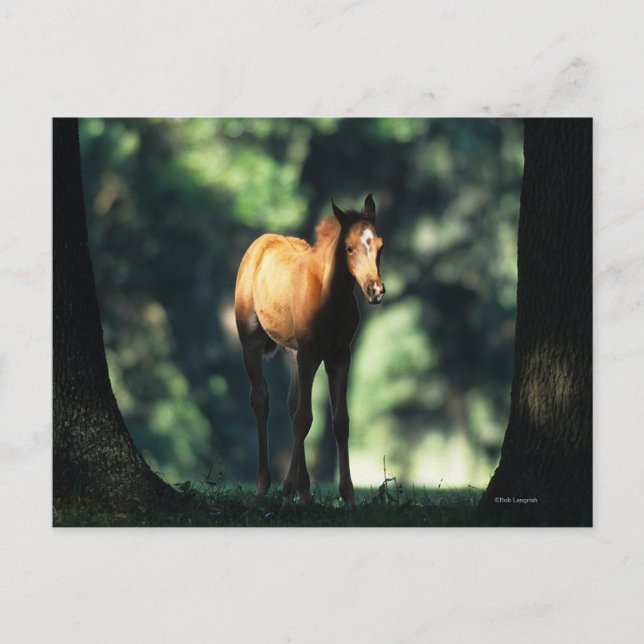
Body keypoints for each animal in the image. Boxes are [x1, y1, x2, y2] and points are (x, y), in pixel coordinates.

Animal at [234, 194, 385, 507]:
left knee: (293, 403)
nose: (375, 290)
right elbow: (304, 419)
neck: (331, 299)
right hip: (251, 343)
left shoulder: (340, 354)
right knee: (261, 399)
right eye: (349, 247)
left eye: (380, 245)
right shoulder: (309, 352)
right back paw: (264, 486)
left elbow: (339, 421)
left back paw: (304, 492)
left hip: (293, 352)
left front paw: (348, 497)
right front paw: (286, 489)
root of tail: (259, 243)